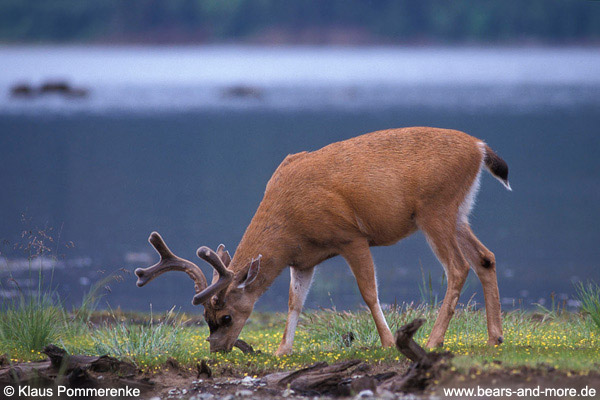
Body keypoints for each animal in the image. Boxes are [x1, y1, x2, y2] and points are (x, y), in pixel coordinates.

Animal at [135, 126, 510, 354]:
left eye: (225, 317)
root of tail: (480, 148)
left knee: (458, 268)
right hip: (457, 212)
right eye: (205, 318)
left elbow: (369, 293)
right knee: (486, 257)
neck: (289, 223)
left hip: (435, 209)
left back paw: (432, 341)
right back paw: (495, 337)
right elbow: (294, 301)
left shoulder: (350, 236)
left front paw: (388, 342)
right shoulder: (303, 259)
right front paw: (282, 350)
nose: (216, 349)